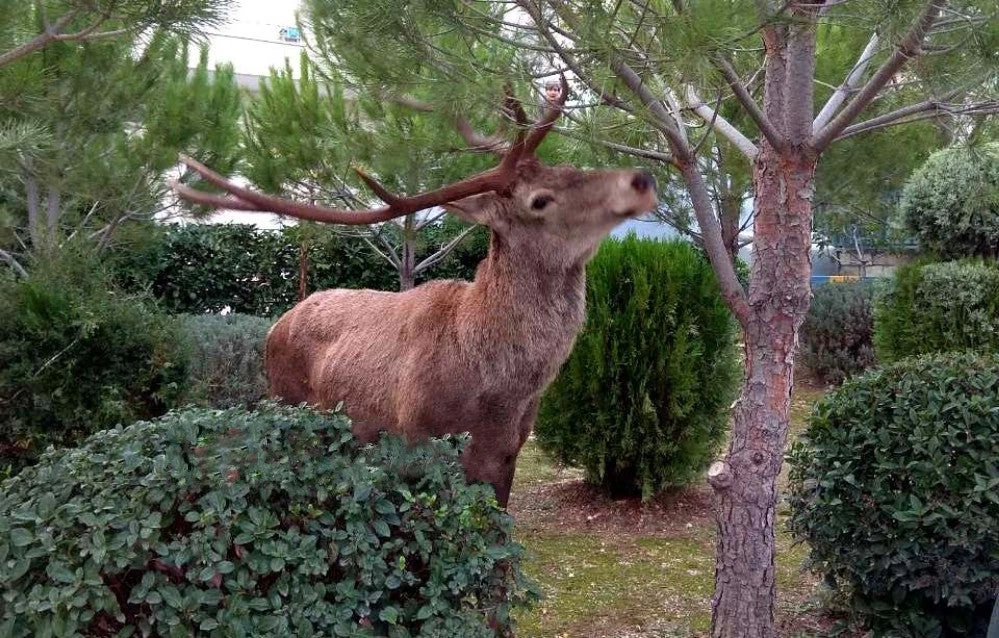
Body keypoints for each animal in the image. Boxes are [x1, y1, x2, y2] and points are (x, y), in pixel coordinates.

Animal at [174, 82, 656, 508]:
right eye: (539, 200)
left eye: (570, 170)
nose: (642, 178)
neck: (499, 392)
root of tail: (278, 322)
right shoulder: (416, 443)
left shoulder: (508, 455)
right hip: (287, 402)